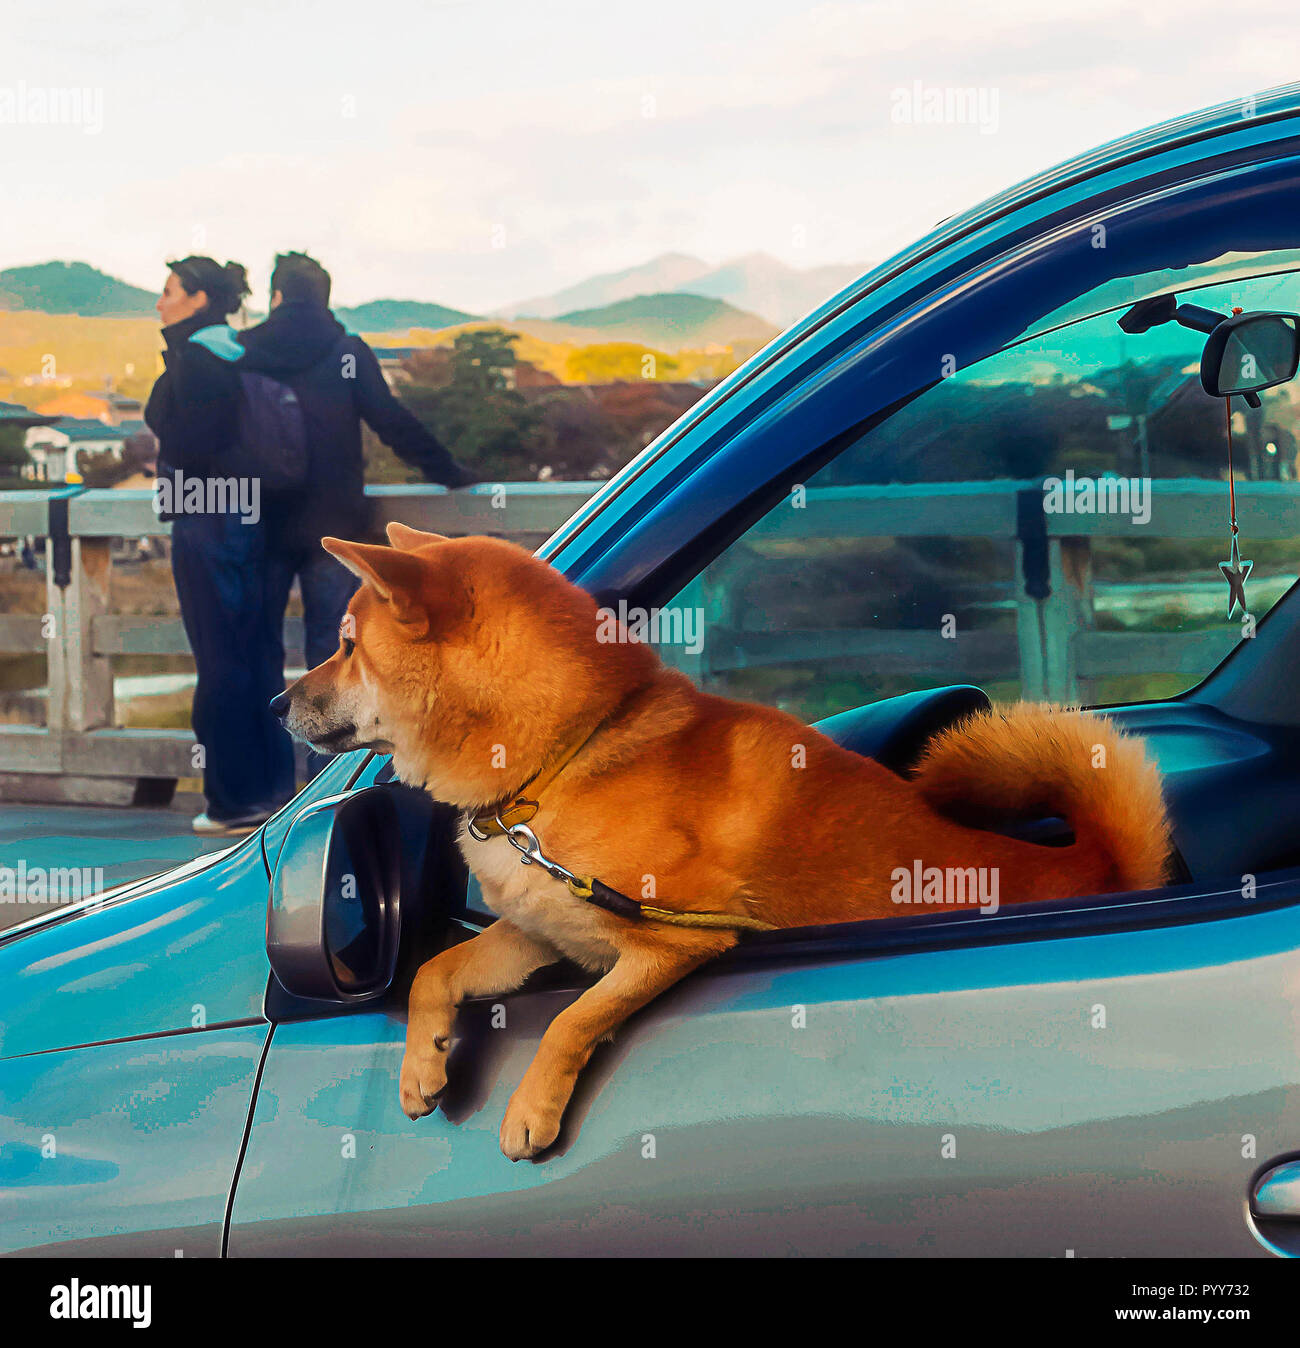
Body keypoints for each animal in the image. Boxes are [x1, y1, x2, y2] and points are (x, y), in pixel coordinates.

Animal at [271, 523, 1170, 1159]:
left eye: (345, 646)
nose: (277, 704)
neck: (567, 756)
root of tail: (1091, 861)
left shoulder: (671, 945)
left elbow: (570, 1022)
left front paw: (531, 1110)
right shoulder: (540, 933)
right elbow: (435, 970)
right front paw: (423, 1064)